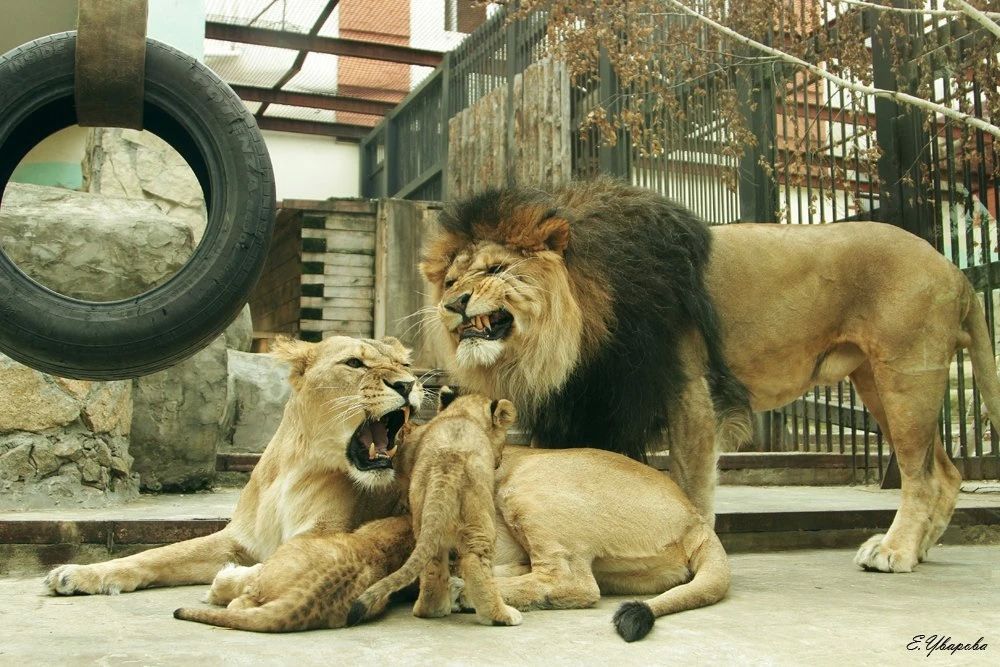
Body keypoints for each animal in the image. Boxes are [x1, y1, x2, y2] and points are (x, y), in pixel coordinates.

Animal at [44, 335, 424, 596]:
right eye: (355, 364)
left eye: (404, 365)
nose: (408, 384)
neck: (296, 466)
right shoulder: (237, 540)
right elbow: (158, 555)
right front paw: (77, 573)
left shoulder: (322, 533)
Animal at [348, 390, 521, 628]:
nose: (499, 460)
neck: (463, 414)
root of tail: (447, 465)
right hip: (479, 518)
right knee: (476, 562)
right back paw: (501, 615)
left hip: (424, 515)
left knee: (432, 562)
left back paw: (431, 610)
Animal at [420, 178, 1000, 574]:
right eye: (450, 279)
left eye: (496, 270)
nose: (453, 303)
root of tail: (952, 268)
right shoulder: (604, 401)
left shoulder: (688, 392)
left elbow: (691, 484)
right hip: (877, 382)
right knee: (946, 471)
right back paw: (920, 548)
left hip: (906, 373)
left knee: (922, 475)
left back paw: (896, 550)